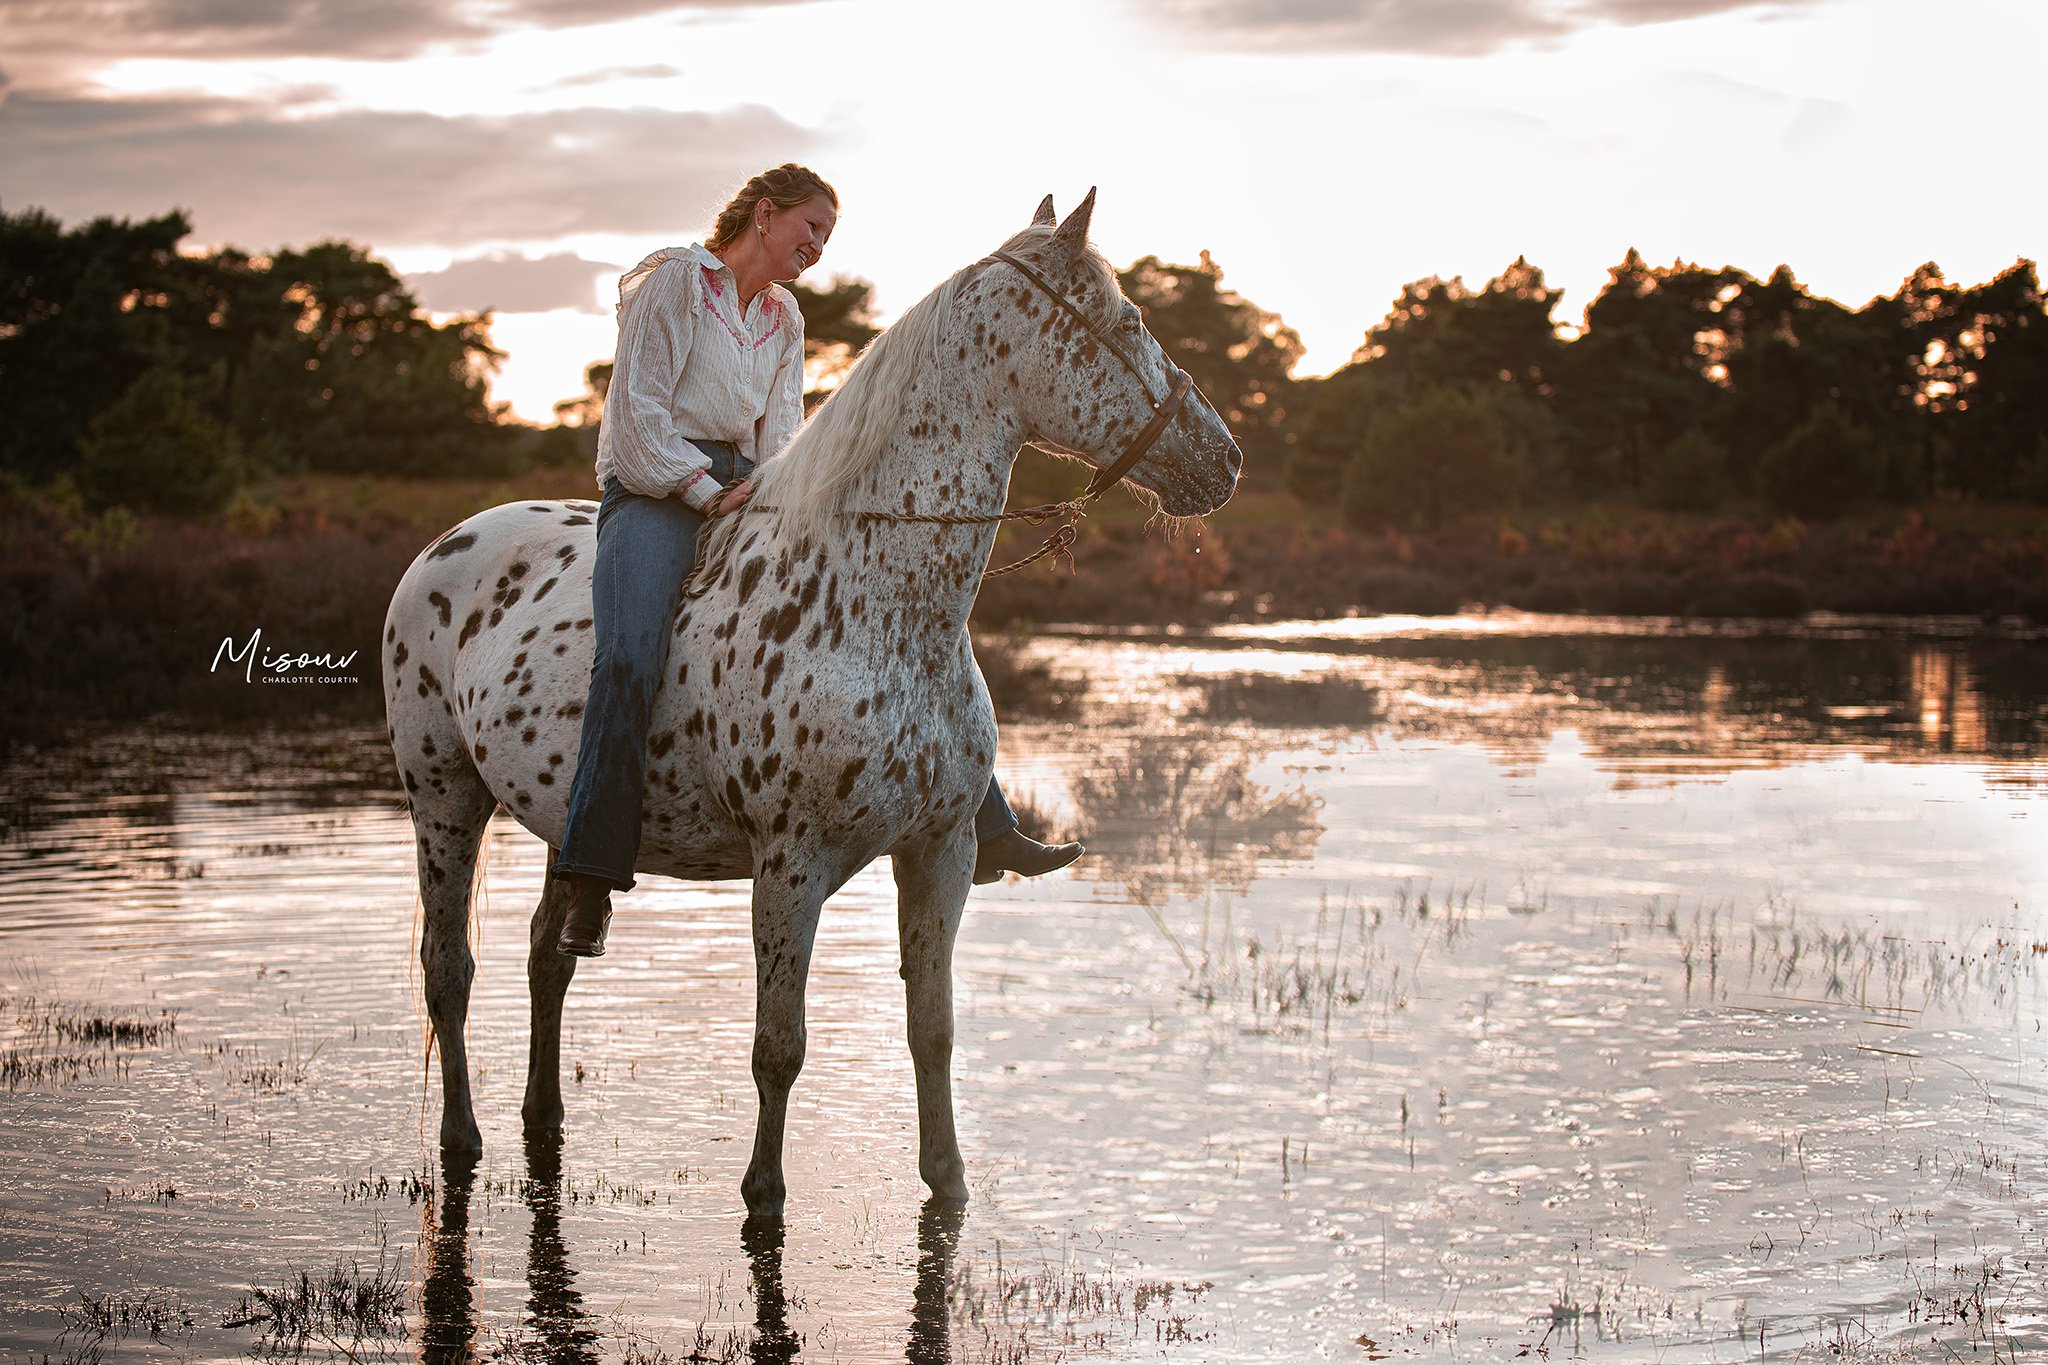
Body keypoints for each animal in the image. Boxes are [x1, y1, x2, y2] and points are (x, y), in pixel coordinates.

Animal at [381, 191, 1242, 1218]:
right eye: (1132, 320)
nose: (1225, 459)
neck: (871, 598)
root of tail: (443, 548)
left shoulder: (942, 852)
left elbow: (932, 1029)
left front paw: (948, 1181)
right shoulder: (790, 866)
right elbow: (778, 1047)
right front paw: (763, 1199)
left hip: (562, 820)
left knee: (549, 957)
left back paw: (543, 1118)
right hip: (443, 799)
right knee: (449, 975)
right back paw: (462, 1138)